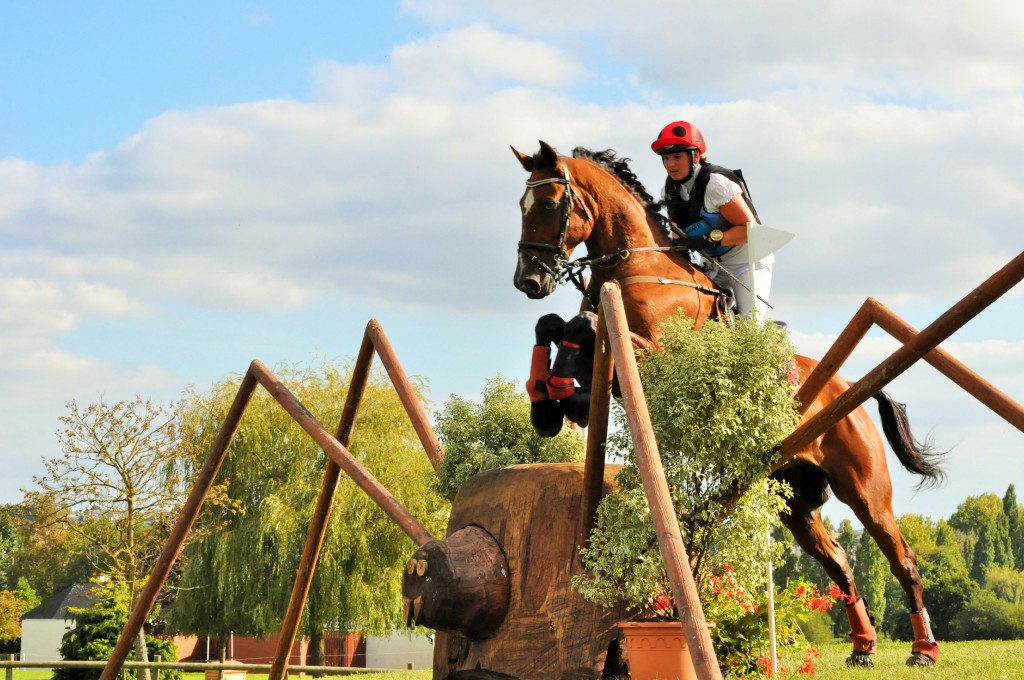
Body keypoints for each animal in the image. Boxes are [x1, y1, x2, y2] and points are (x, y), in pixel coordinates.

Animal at [509, 140, 942, 667]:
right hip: (796, 499)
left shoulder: (660, 355)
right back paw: (863, 647)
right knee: (839, 561)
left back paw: (923, 649)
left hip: (864, 488)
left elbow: (582, 326)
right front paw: (549, 404)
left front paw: (559, 397)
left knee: (902, 558)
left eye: (550, 205)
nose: (528, 281)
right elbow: (556, 326)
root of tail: (849, 386)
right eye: (522, 206)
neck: (639, 267)